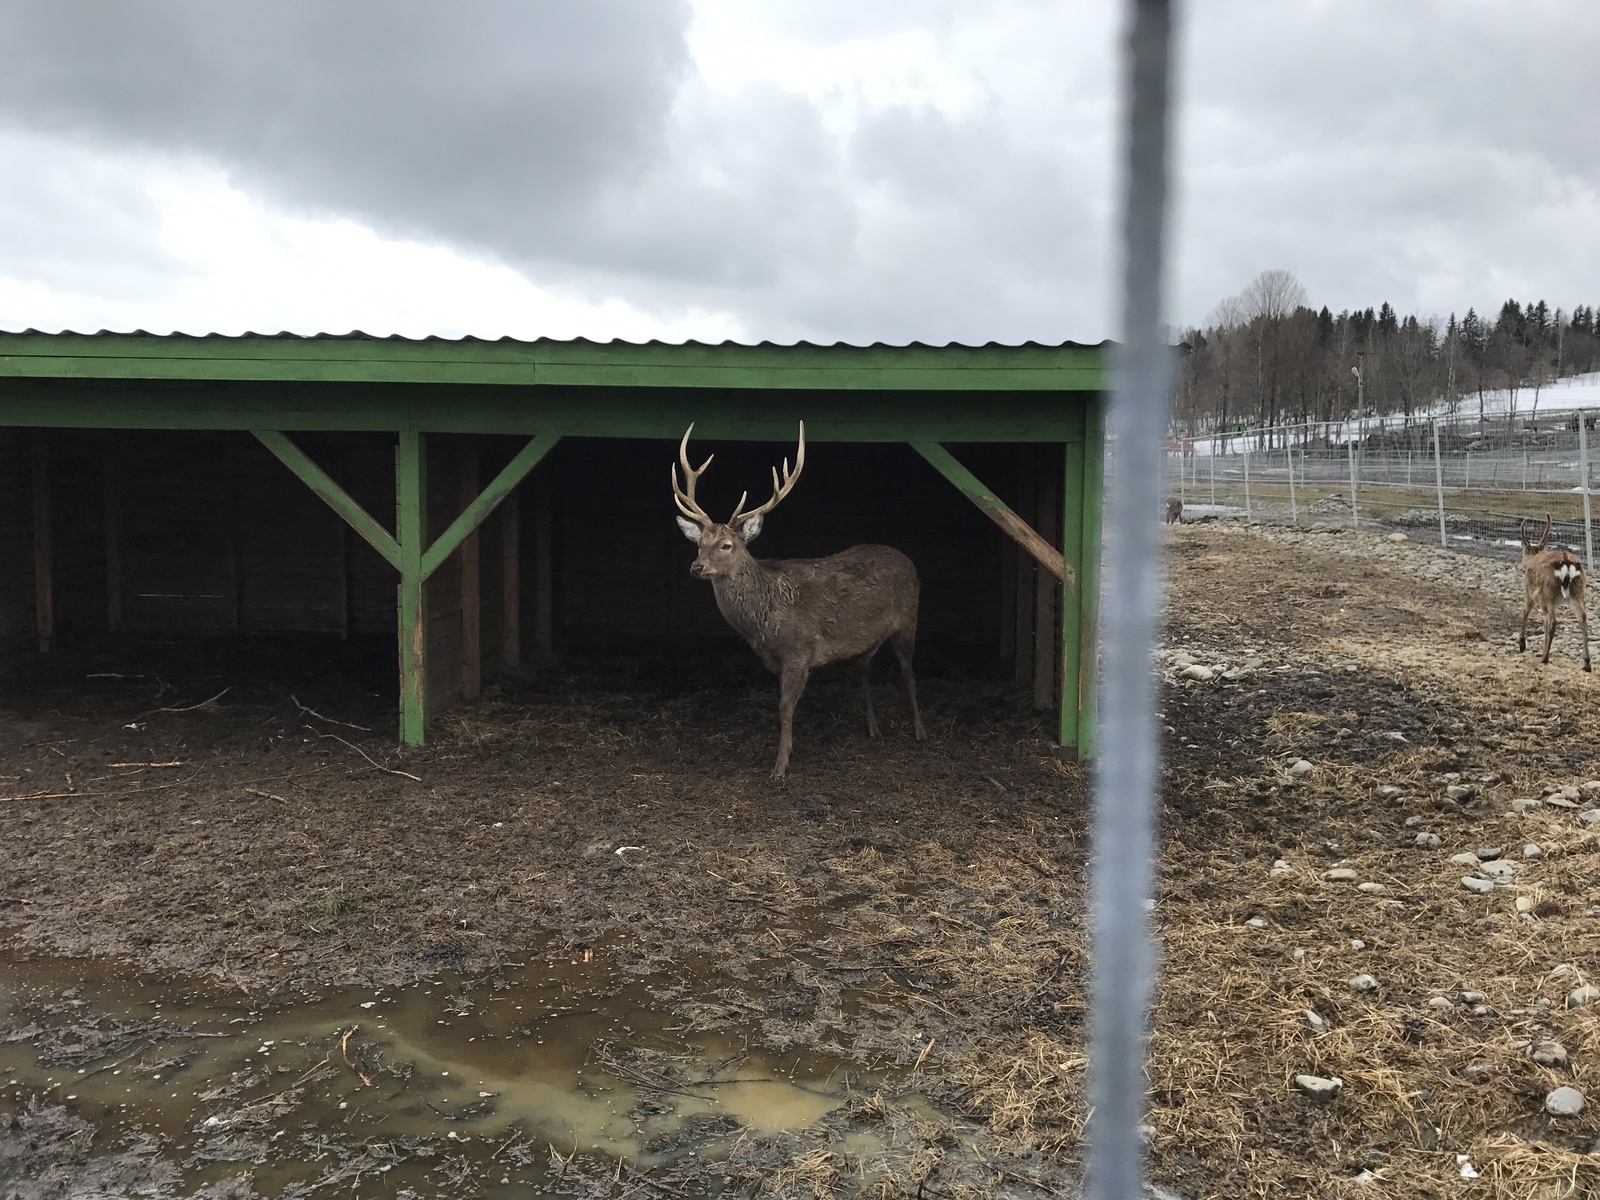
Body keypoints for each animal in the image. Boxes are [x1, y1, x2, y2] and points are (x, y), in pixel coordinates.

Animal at [672, 422, 928, 780]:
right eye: (699, 544)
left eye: (726, 545)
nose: (697, 567)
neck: (762, 623)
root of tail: (907, 559)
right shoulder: (776, 659)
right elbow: (782, 707)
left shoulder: (800, 651)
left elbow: (785, 709)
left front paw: (780, 767)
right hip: (869, 637)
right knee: (864, 668)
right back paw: (873, 729)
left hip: (909, 616)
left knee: (908, 671)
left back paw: (919, 731)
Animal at [1516, 512, 1593, 672]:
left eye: (1523, 553)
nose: (1522, 565)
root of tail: (1567, 564)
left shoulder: (1531, 593)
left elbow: (1526, 611)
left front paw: (1522, 644)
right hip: (1578, 592)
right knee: (1583, 618)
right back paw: (1587, 663)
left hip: (1548, 593)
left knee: (1553, 621)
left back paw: (1544, 658)